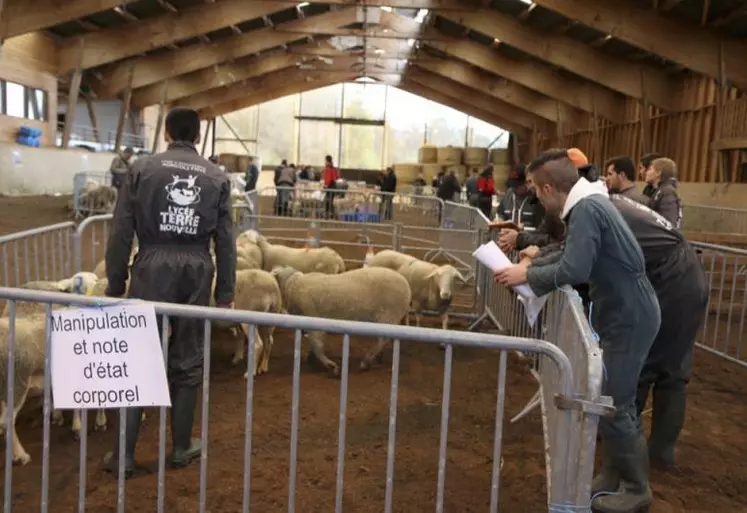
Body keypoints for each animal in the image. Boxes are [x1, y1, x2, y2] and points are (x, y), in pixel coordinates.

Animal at [270, 264, 410, 376]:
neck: (292, 284)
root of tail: (407, 288)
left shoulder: (314, 320)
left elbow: (317, 346)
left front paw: (331, 366)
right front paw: (311, 358)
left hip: (387, 316)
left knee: (382, 340)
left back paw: (366, 362)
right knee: (384, 341)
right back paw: (377, 357)